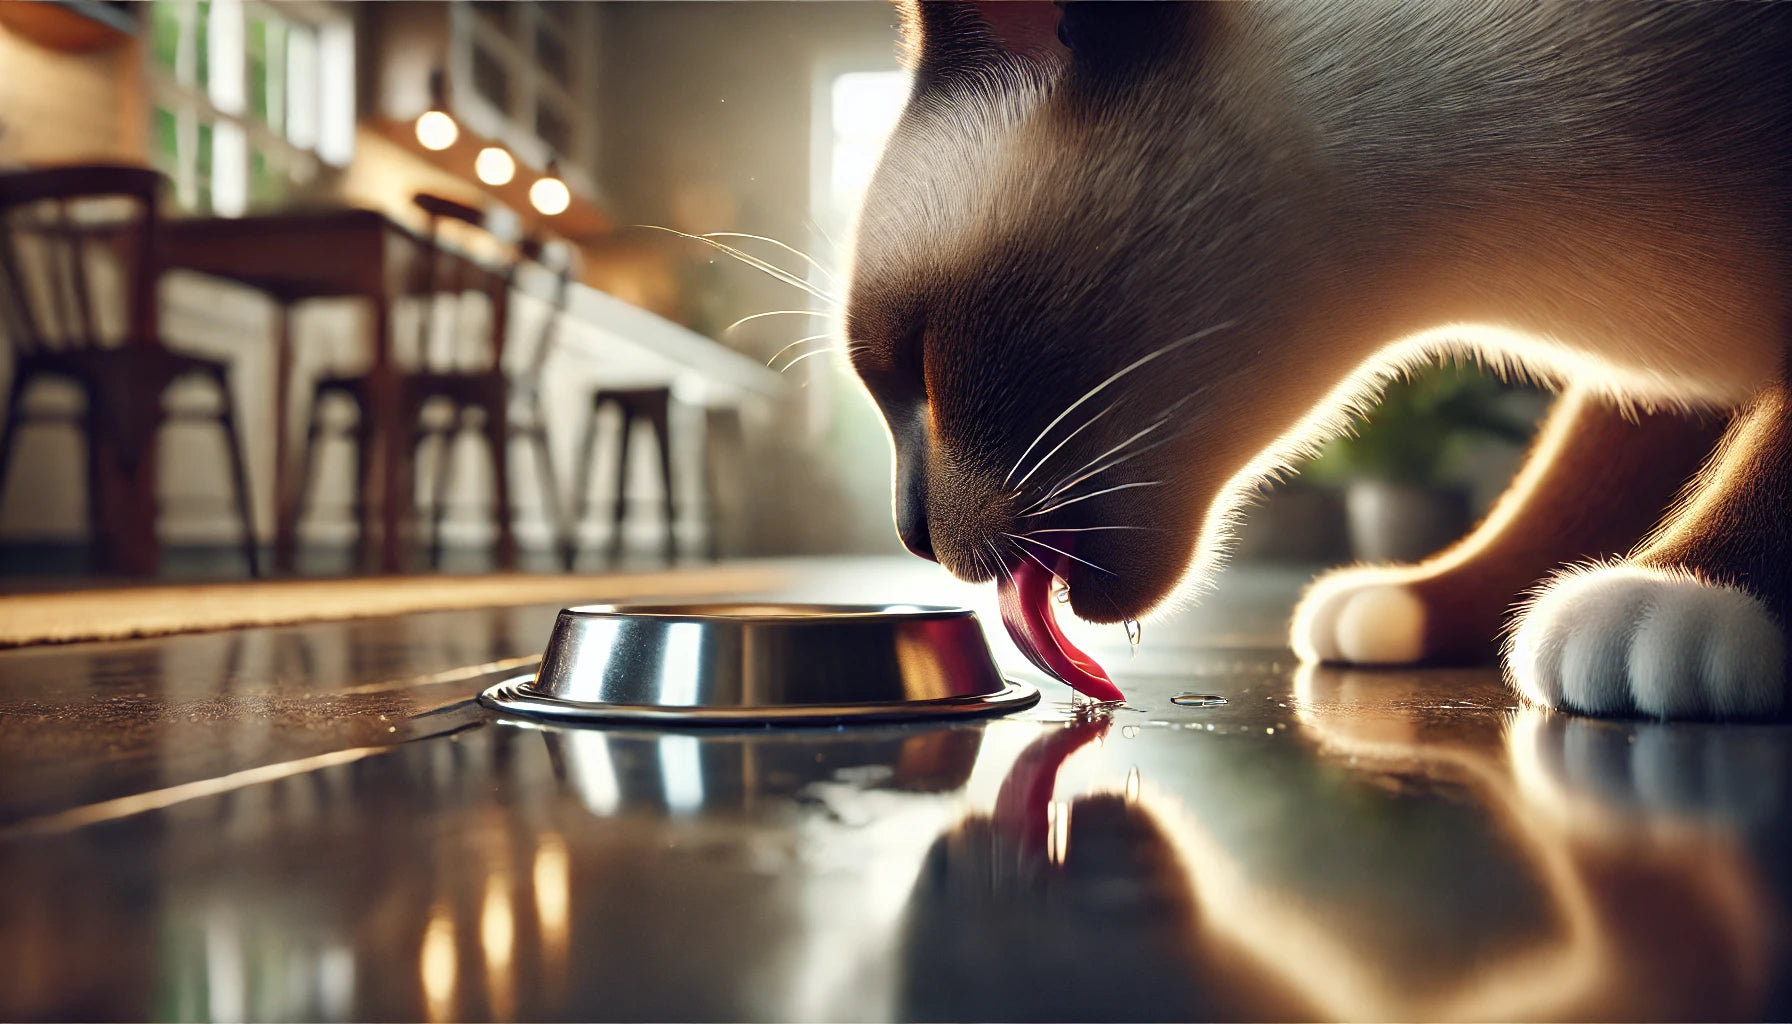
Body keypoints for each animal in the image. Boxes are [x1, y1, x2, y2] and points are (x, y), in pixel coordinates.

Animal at [838, 0, 1792, 720]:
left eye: (916, 362)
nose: (908, 532)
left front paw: (1684, 592)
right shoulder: (1635, 386)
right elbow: (1559, 492)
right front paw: (1420, 606)